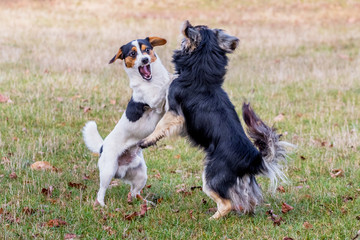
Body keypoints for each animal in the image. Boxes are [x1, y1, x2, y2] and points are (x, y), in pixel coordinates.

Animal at [83, 37, 170, 206]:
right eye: (132, 53)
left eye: (147, 50)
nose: (145, 60)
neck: (151, 81)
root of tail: (102, 147)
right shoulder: (153, 101)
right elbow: (166, 85)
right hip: (108, 170)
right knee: (101, 191)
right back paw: (102, 205)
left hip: (141, 174)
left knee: (135, 193)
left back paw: (146, 203)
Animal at [141, 21, 290, 219]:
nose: (187, 23)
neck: (201, 76)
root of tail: (253, 159)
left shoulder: (174, 112)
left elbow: (160, 125)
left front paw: (146, 140)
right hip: (241, 183)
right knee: (247, 200)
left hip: (211, 176)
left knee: (227, 204)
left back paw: (212, 218)